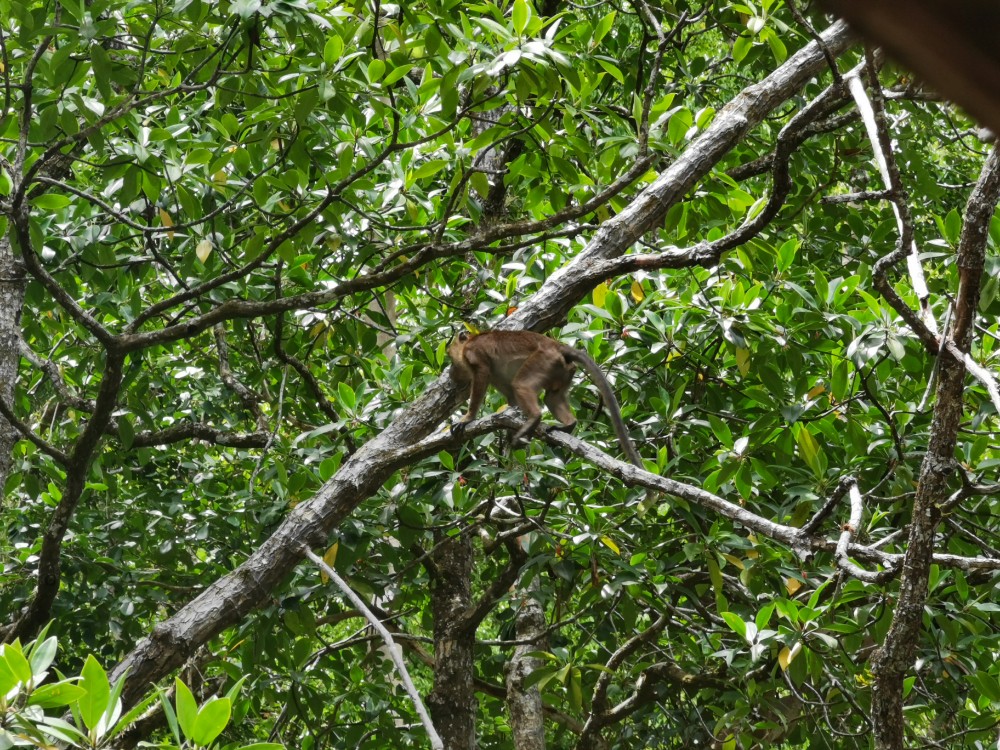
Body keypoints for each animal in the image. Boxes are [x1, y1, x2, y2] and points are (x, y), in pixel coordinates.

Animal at [447, 330, 643, 467]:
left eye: (450, 356)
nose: (451, 372)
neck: (470, 342)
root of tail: (556, 345)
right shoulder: (497, 377)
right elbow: (511, 397)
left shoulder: (475, 354)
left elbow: (482, 378)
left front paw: (467, 418)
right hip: (564, 370)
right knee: (552, 397)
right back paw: (568, 424)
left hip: (543, 360)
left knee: (522, 385)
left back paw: (535, 417)